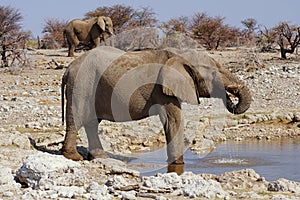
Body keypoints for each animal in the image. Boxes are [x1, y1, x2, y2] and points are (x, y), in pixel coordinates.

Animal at [60, 45, 251, 166]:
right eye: (213, 72)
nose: (231, 93)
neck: (179, 55)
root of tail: (69, 68)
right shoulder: (162, 90)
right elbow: (173, 120)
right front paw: (178, 164)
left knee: (91, 122)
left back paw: (100, 157)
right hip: (82, 84)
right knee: (77, 118)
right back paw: (74, 157)